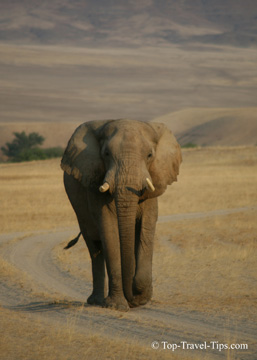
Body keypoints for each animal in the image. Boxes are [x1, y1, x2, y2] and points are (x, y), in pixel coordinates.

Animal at [60, 118, 181, 310]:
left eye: (149, 155)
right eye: (106, 154)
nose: (132, 300)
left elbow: (146, 226)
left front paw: (140, 297)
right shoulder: (95, 181)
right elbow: (109, 229)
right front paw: (117, 305)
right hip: (79, 211)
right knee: (95, 246)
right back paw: (96, 301)